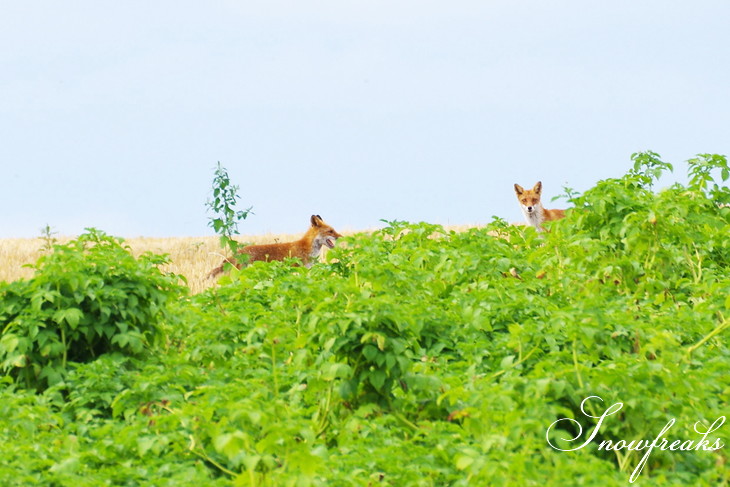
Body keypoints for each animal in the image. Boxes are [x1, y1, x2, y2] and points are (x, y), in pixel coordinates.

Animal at [205, 214, 342, 278]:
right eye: (330, 231)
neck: (306, 249)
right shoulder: (297, 269)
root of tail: (238, 253)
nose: (341, 237)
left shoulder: (306, 271)